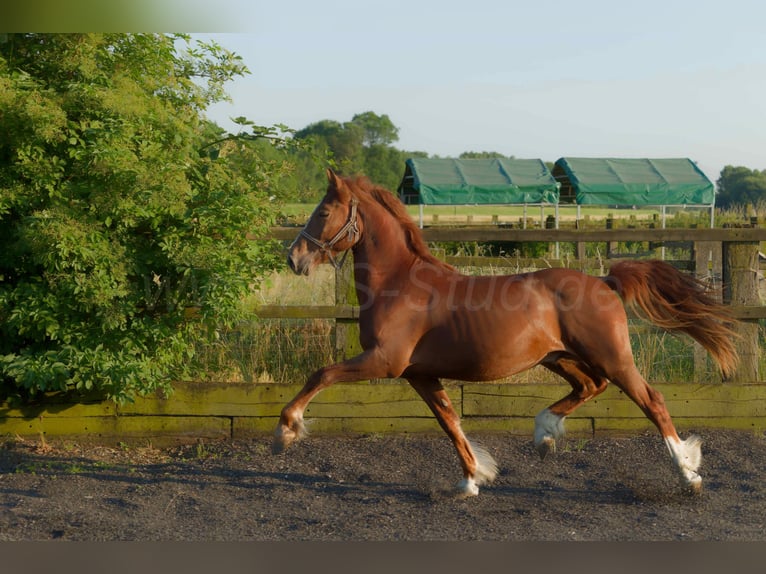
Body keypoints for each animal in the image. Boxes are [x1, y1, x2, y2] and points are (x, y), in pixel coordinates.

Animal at [274, 169, 739, 497]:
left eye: (323, 212)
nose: (294, 258)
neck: (401, 283)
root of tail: (604, 281)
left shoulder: (384, 362)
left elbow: (321, 374)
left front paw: (286, 431)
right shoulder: (419, 374)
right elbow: (449, 421)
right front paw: (471, 479)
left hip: (611, 356)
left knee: (651, 400)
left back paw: (688, 475)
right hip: (558, 357)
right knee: (591, 385)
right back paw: (544, 434)